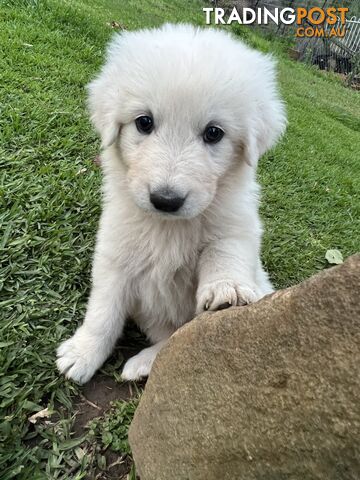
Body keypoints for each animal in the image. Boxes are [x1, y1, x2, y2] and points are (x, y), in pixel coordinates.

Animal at [57, 24, 286, 382]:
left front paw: (227, 288)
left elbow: (224, 252)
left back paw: (141, 364)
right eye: (144, 122)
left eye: (214, 133)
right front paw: (83, 353)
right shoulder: (115, 254)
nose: (166, 200)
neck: (167, 227)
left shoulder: (236, 227)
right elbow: (103, 312)